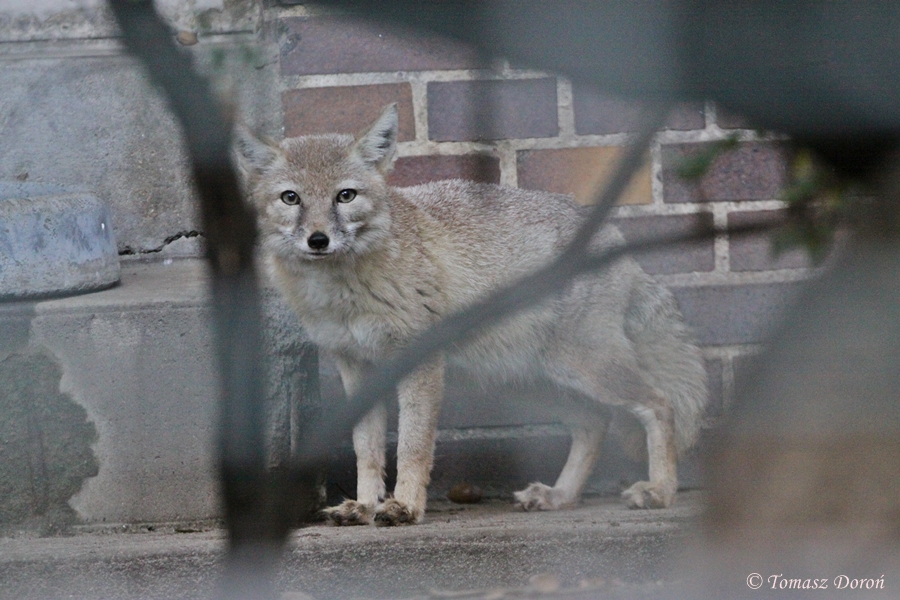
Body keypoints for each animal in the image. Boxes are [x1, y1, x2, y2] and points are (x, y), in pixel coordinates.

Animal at [234, 104, 708, 526]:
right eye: (291, 198)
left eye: (344, 196)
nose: (318, 240)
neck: (343, 293)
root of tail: (613, 237)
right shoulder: (356, 367)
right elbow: (366, 450)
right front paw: (365, 506)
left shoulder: (419, 360)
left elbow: (413, 445)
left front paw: (405, 507)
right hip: (534, 382)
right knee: (593, 423)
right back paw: (560, 496)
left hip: (584, 369)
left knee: (658, 405)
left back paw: (660, 491)